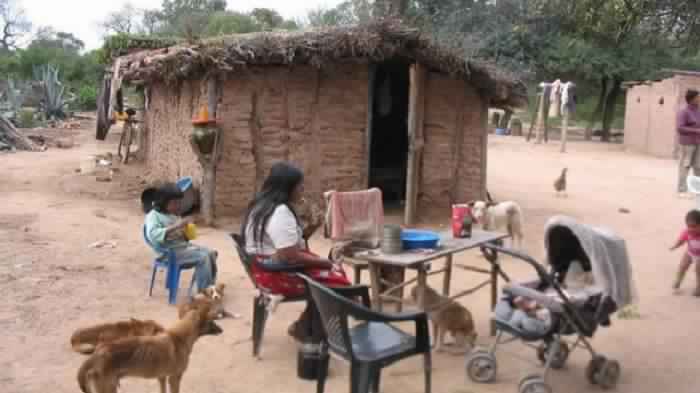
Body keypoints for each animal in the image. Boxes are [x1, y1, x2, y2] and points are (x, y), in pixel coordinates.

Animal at [76, 298, 221, 392]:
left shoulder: (162, 377)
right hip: (108, 389)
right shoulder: (175, 378)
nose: (222, 330)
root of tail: (94, 356)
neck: (179, 337)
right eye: (211, 321)